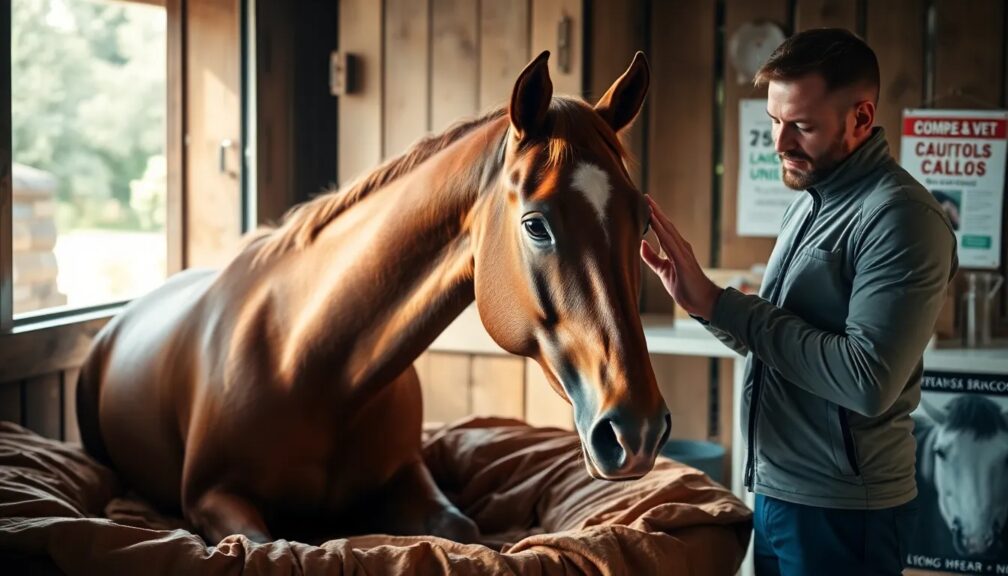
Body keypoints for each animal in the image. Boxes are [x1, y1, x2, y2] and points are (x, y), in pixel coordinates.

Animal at [75, 50, 671, 544]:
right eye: (535, 225)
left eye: (643, 223)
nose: (637, 429)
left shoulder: (409, 477)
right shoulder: (212, 498)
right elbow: (265, 542)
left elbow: (464, 528)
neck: (315, 366)